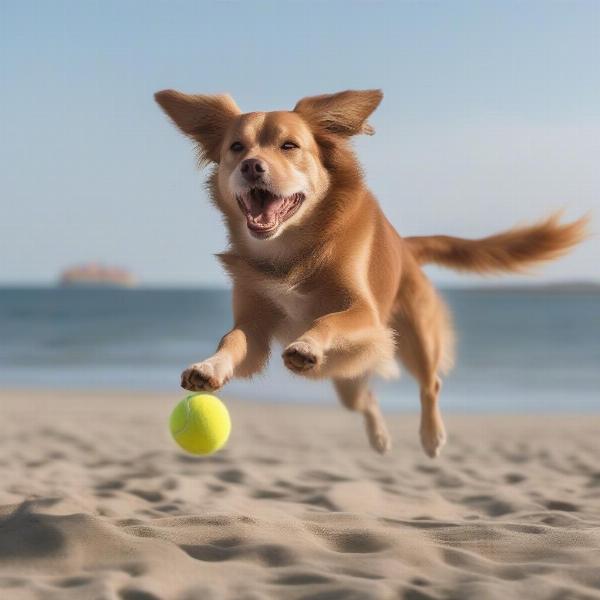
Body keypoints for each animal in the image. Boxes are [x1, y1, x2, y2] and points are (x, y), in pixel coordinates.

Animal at [154, 86, 584, 458]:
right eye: (236, 147)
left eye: (289, 146)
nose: (251, 166)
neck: (291, 252)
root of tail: (406, 248)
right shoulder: (255, 328)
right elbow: (232, 341)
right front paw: (209, 367)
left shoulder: (364, 313)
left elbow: (327, 319)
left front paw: (307, 344)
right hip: (345, 376)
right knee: (366, 399)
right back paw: (378, 438)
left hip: (415, 338)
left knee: (430, 384)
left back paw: (432, 436)